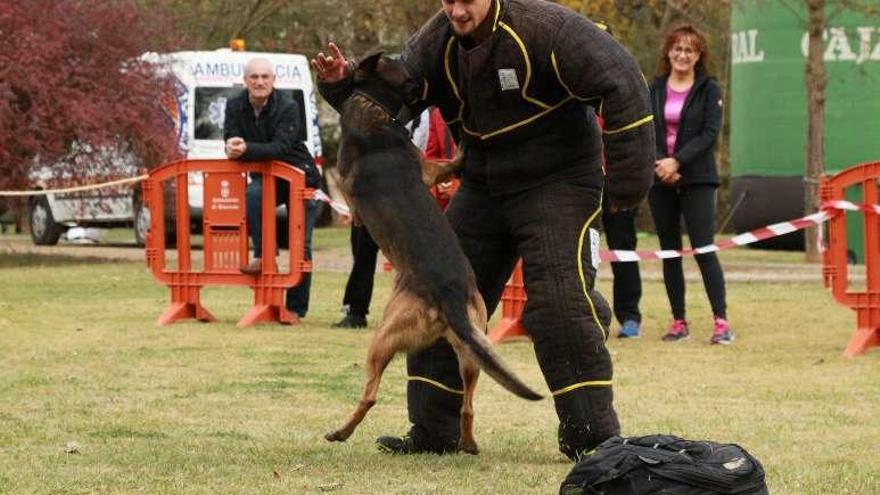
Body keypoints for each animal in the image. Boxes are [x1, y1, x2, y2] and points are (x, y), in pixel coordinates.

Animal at [324, 53, 544, 454]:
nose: (416, 68)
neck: (370, 105)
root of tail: (451, 297)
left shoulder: (404, 178)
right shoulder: (425, 169)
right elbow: (450, 162)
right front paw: (466, 148)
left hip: (384, 337)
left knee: (370, 394)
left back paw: (341, 432)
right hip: (472, 351)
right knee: (468, 405)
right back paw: (468, 445)